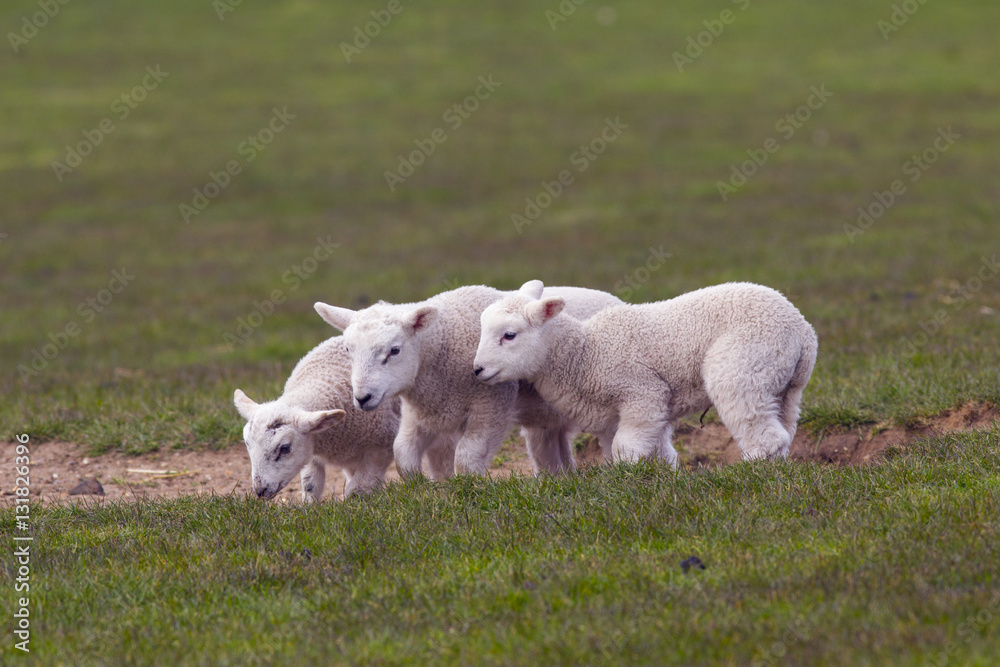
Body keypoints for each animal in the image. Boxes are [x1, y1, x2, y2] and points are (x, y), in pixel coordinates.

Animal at [233, 336, 403, 501]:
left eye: (285, 448)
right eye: (247, 444)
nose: (260, 491)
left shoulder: (381, 446)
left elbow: (358, 489)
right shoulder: (311, 448)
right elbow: (311, 485)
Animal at [313, 283, 622, 477]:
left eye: (394, 350)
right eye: (347, 349)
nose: (362, 397)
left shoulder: (492, 406)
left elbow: (466, 457)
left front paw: (470, 489)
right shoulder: (422, 412)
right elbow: (403, 456)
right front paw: (423, 488)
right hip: (546, 418)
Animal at [473, 281, 818, 463]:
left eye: (509, 335)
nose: (477, 369)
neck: (585, 353)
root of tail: (803, 331)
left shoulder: (643, 393)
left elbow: (625, 450)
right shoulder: (625, 416)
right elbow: (653, 451)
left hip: (743, 368)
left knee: (763, 433)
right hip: (784, 385)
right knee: (784, 429)